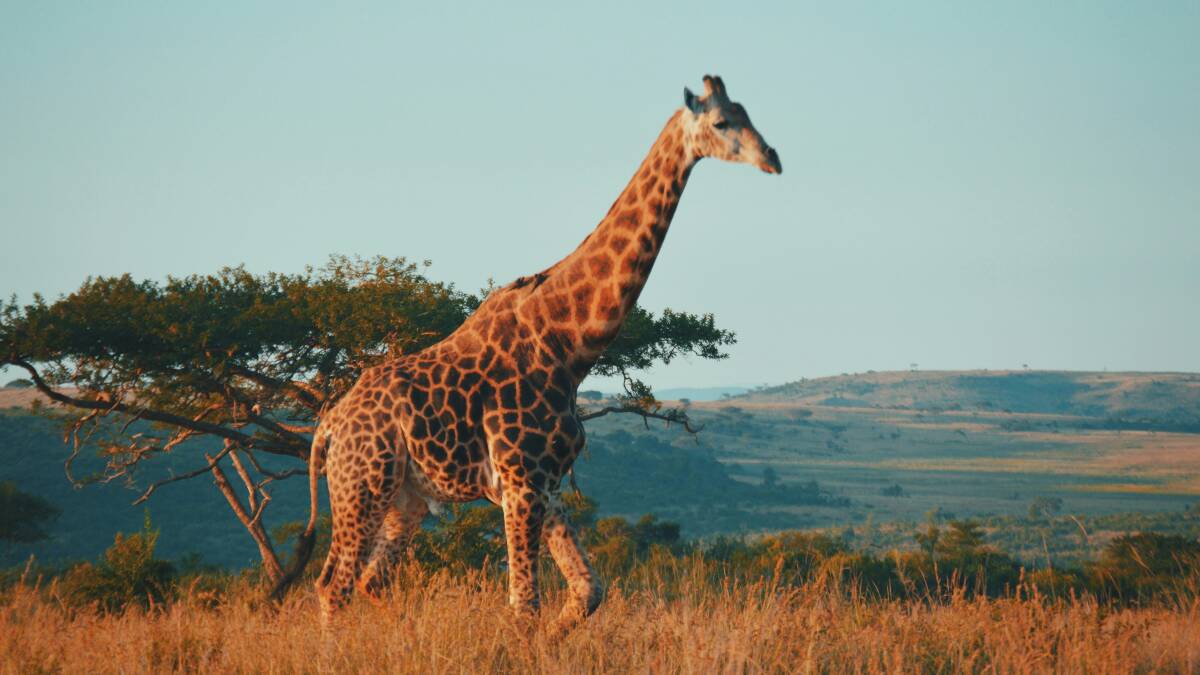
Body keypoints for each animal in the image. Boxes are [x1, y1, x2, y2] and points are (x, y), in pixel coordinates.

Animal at [272, 75, 781, 636]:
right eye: (721, 122)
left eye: (748, 113)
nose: (773, 158)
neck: (569, 344)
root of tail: (328, 426)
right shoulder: (519, 483)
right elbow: (524, 605)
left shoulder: (545, 483)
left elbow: (588, 591)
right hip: (362, 484)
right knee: (333, 585)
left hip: (407, 499)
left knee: (370, 581)